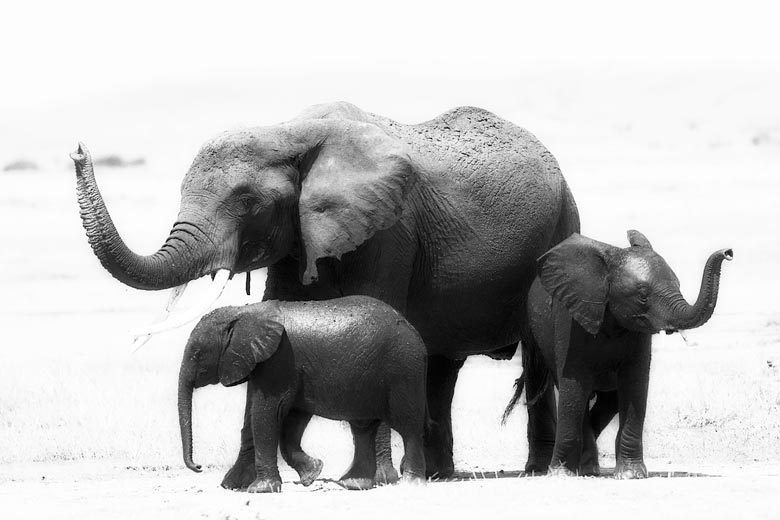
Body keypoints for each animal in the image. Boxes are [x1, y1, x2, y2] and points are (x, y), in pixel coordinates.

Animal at [178, 296, 427, 492]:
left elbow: (267, 414)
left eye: (197, 354)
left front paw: (260, 490)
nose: (198, 467)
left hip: (404, 370)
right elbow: (280, 420)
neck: (244, 311)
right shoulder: (271, 365)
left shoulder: (280, 361)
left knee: (409, 427)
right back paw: (353, 484)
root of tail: (415, 331)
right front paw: (312, 473)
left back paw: (410, 484)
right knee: (363, 428)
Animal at [505, 230, 732, 478]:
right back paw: (585, 469)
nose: (728, 252)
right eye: (643, 295)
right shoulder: (571, 320)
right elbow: (573, 389)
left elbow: (634, 385)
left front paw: (631, 475)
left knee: (609, 400)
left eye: (679, 284)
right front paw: (560, 474)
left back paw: (589, 468)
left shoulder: (638, 331)